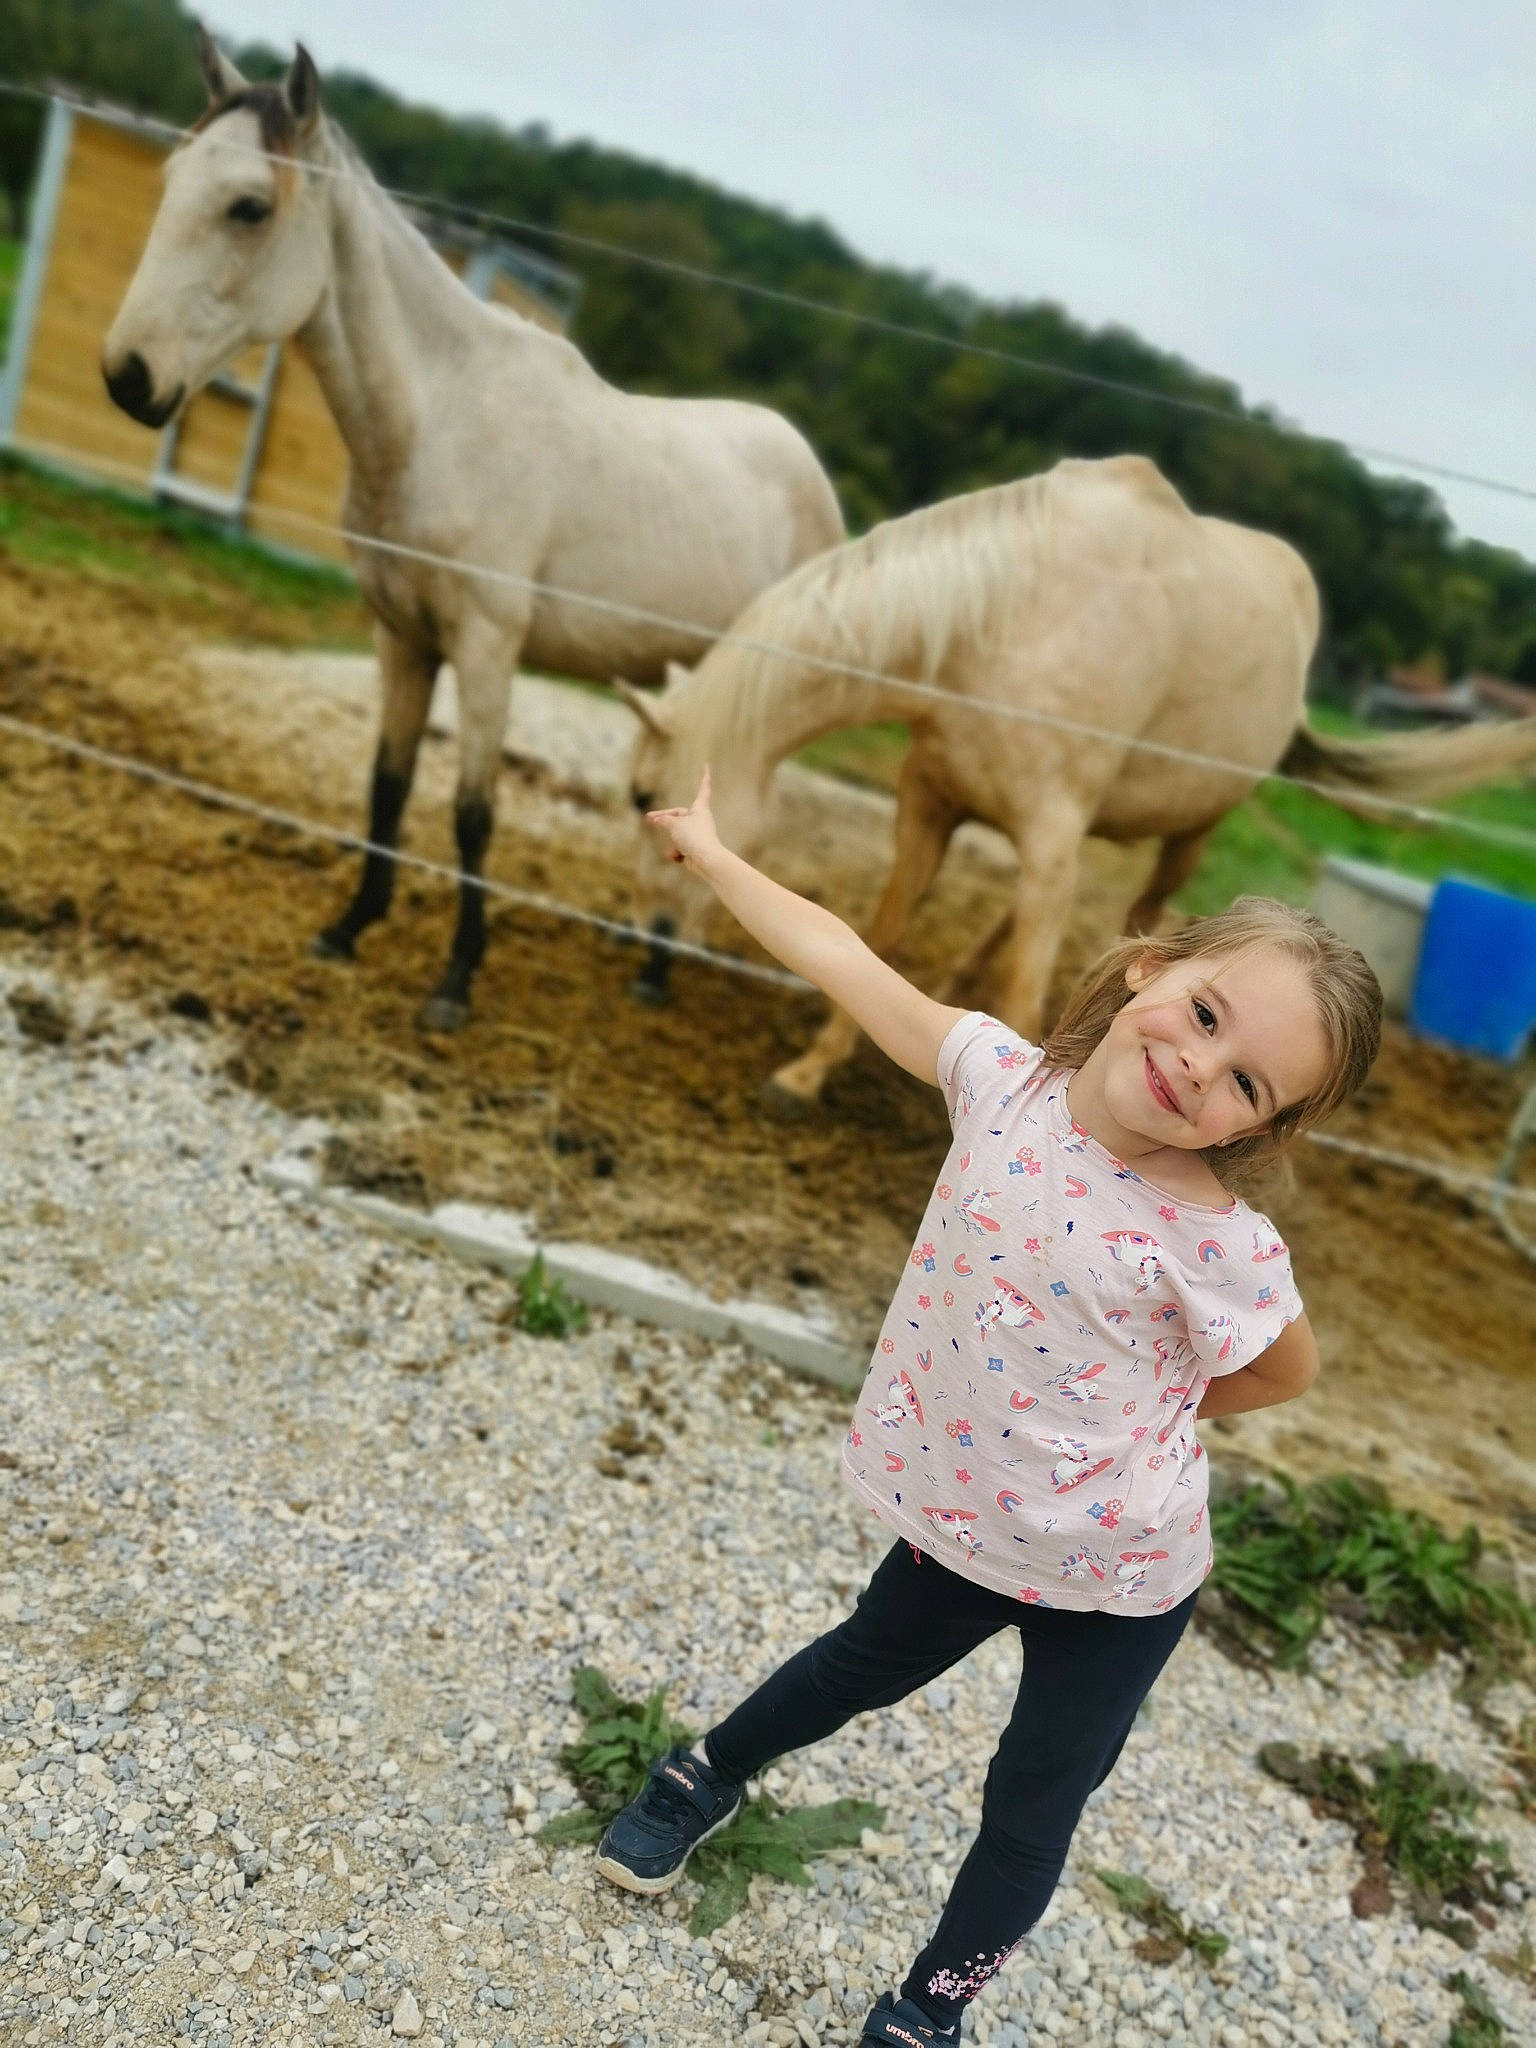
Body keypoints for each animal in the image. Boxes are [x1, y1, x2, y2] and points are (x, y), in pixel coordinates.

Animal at [101, 31, 843, 1030]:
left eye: (249, 206)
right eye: (174, 176)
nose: (128, 377)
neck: (438, 422)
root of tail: (811, 470)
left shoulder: (488, 648)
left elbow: (471, 812)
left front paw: (454, 982)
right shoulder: (404, 638)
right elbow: (389, 785)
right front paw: (349, 929)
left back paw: (664, 969)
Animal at [620, 454, 1536, 1108]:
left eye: (644, 801)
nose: (648, 954)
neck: (999, 622)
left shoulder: (1050, 836)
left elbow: (1030, 985)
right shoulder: (931, 807)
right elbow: (880, 939)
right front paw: (807, 1073)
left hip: (1190, 832)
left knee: (1143, 916)